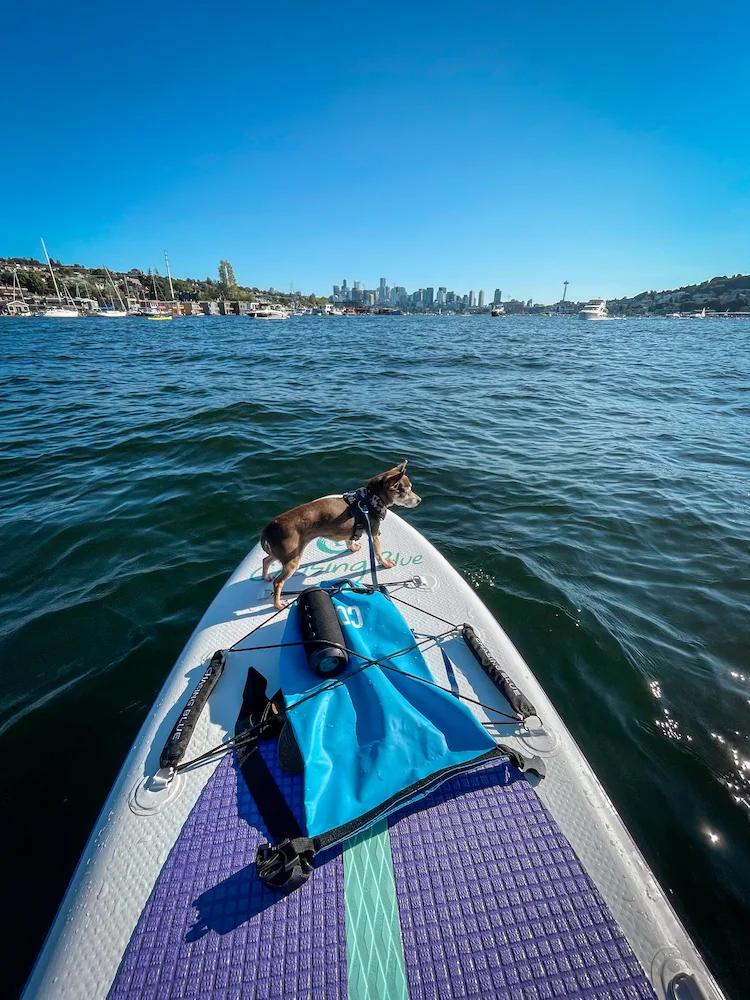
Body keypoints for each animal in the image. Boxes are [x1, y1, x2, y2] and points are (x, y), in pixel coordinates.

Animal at [262, 460, 420, 608]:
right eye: (407, 491)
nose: (419, 500)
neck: (370, 499)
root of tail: (270, 527)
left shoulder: (353, 530)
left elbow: (349, 540)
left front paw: (353, 547)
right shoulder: (373, 534)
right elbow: (378, 553)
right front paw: (386, 563)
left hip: (282, 553)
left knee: (266, 560)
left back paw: (265, 577)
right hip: (292, 560)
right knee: (278, 582)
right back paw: (277, 603)